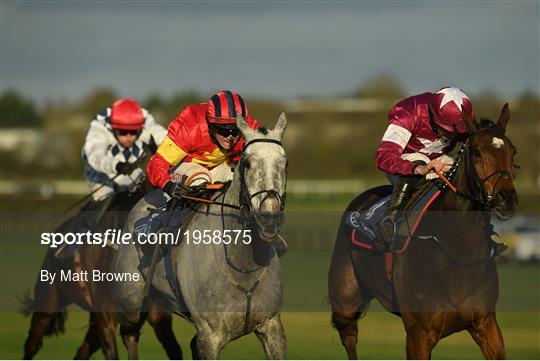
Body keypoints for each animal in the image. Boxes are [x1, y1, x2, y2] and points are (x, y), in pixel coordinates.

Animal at [115, 112, 288, 358]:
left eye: (285, 163)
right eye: (247, 163)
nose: (269, 217)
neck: (242, 266)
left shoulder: (272, 327)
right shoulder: (210, 337)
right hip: (131, 301)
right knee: (129, 334)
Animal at [330, 103, 520, 358]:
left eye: (513, 152)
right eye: (477, 152)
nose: (506, 198)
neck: (457, 253)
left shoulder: (486, 323)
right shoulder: (418, 334)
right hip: (346, 298)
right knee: (348, 334)